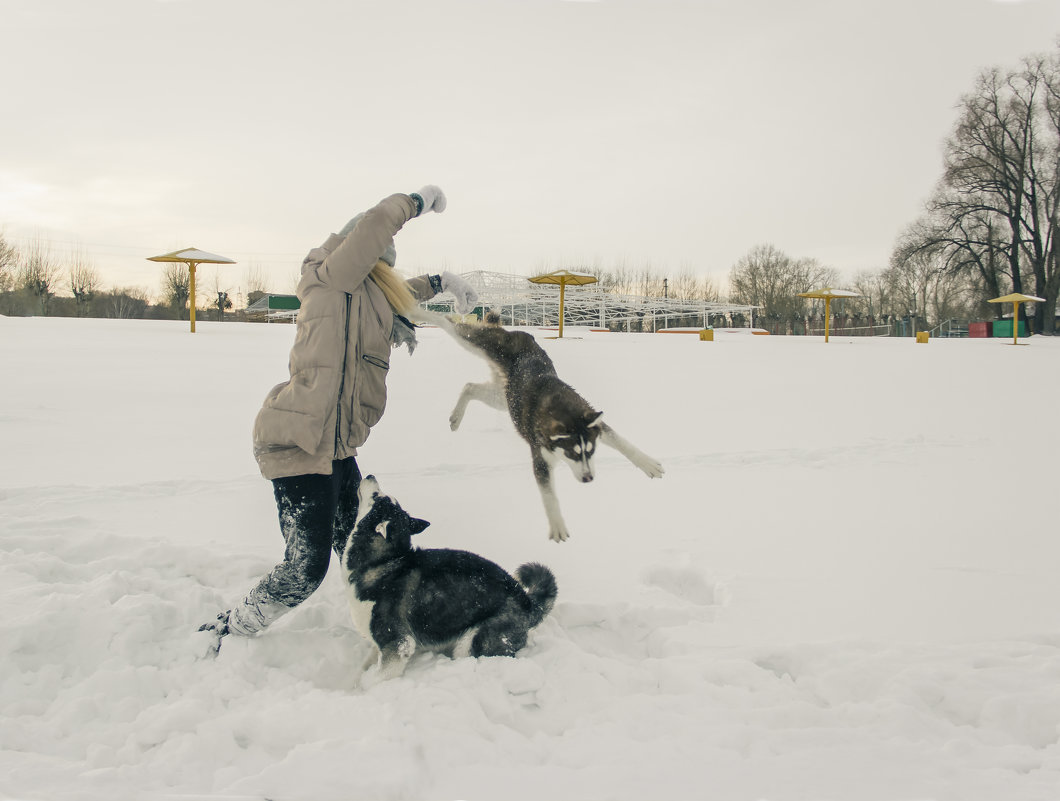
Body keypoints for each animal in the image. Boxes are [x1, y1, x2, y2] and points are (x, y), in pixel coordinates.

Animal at [343, 472, 559, 686]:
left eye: (377, 497)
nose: (370, 475)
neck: (385, 561)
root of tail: (526, 601)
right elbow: (362, 669)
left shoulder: (398, 643)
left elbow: (373, 680)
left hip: (472, 642)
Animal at [434, 313, 657, 542]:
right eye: (571, 453)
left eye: (590, 451)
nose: (588, 479)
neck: (561, 408)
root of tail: (522, 334)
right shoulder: (540, 458)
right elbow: (549, 495)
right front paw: (557, 525)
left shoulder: (594, 423)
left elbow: (624, 443)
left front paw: (650, 464)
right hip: (481, 343)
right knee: (450, 325)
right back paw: (425, 314)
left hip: (502, 399)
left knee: (469, 387)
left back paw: (456, 417)